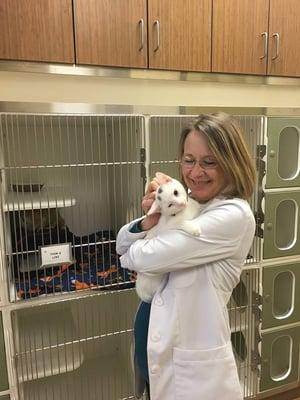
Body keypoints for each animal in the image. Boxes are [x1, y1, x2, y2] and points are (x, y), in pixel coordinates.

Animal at [137, 173, 203, 304]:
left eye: (176, 192)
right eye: (170, 205)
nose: (182, 204)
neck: (185, 211)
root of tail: (142, 293)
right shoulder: (168, 227)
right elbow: (181, 223)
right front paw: (193, 229)